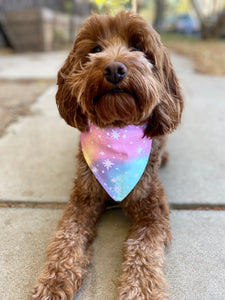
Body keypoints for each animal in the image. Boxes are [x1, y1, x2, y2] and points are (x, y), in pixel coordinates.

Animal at [31, 10, 183, 300]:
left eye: (137, 47)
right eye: (95, 49)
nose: (114, 68)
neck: (117, 129)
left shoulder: (153, 209)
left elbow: (143, 249)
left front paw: (140, 290)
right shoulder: (83, 199)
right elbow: (66, 238)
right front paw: (53, 280)